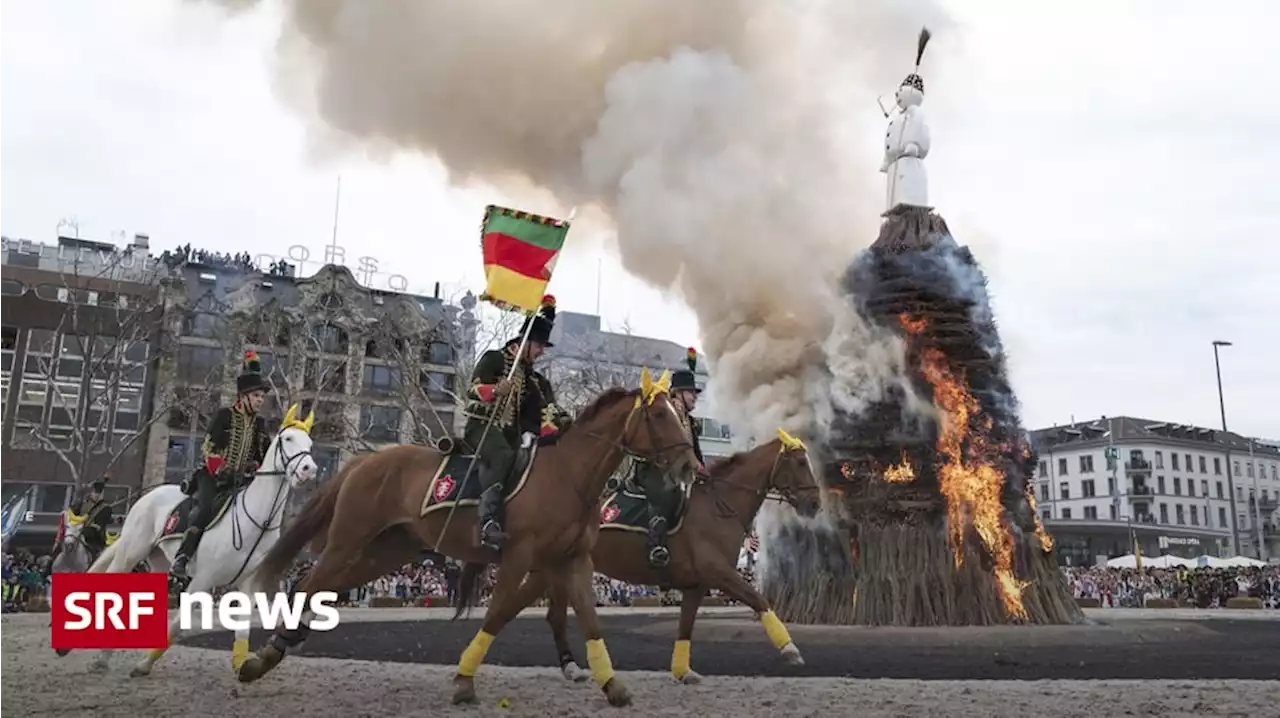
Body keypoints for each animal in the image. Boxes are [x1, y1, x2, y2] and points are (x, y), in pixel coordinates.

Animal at [67, 406, 322, 675]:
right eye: (288, 438)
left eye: (310, 443)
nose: (309, 470)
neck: (257, 521)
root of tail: (146, 497)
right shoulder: (202, 579)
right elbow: (178, 625)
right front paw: (144, 664)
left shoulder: (249, 584)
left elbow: (242, 629)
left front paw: (243, 665)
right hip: (132, 553)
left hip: (158, 562)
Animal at [238, 368, 701, 706]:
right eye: (660, 415)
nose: (689, 466)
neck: (569, 475)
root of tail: (365, 462)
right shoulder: (519, 556)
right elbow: (498, 615)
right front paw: (464, 680)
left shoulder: (573, 560)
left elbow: (588, 618)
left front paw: (612, 685)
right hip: (347, 542)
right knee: (309, 583)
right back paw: (262, 658)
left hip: (384, 552)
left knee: (317, 587)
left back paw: (275, 650)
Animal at [458, 424, 819, 680]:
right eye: (801, 462)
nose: (815, 502)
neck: (718, 506)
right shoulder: (720, 573)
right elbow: (759, 599)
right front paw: (790, 649)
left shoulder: (697, 584)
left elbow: (686, 626)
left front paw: (683, 670)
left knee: (551, 614)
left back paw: (569, 667)